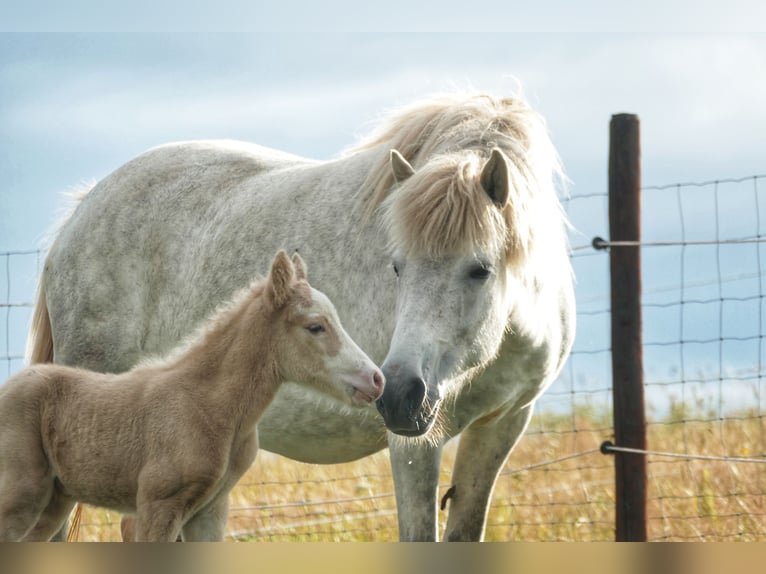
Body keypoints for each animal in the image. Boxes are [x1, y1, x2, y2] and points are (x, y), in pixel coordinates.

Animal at [0, 251, 384, 541]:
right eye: (315, 326)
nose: (376, 379)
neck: (209, 405)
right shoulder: (158, 506)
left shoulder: (210, 511)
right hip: (21, 495)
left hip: (53, 501)